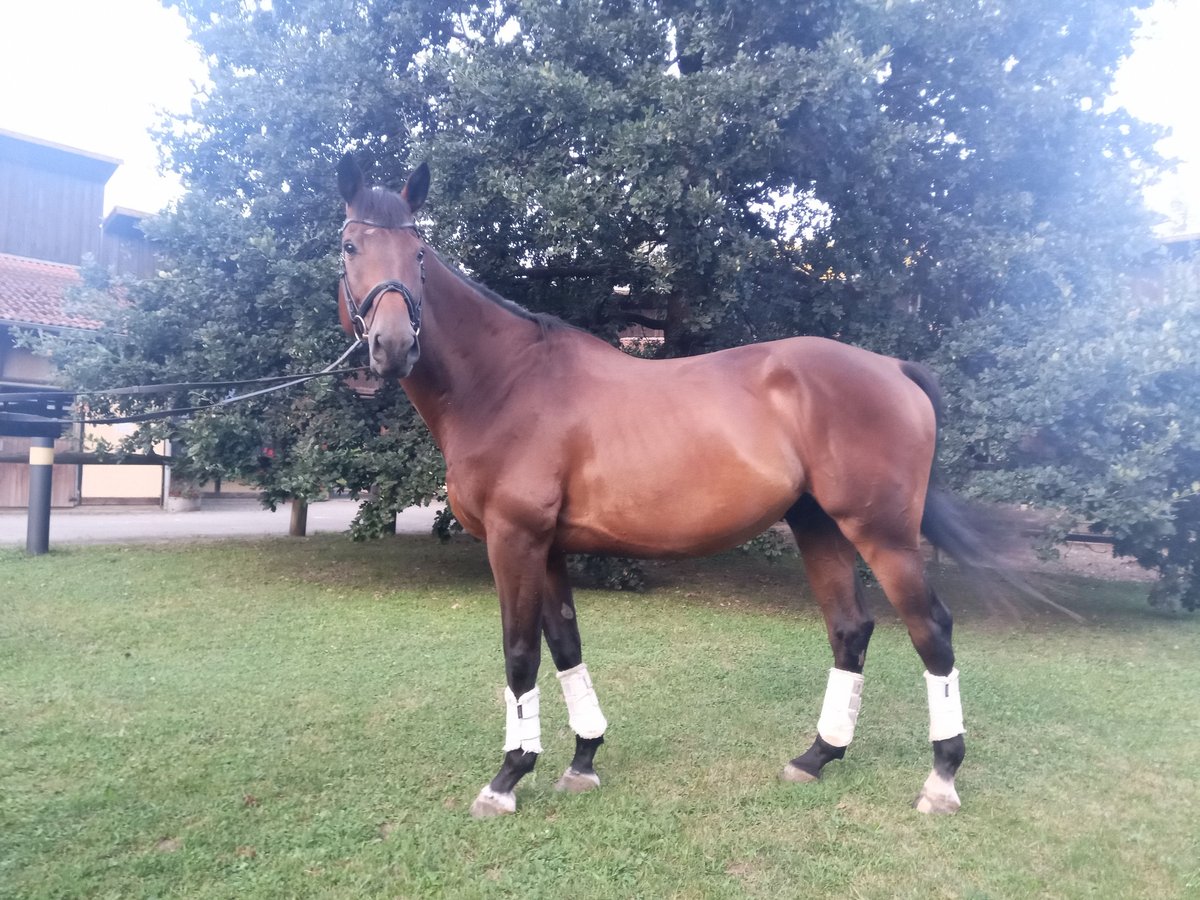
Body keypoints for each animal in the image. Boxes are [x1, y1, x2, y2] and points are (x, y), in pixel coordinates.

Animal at [338, 153, 1003, 816]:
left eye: (419, 253)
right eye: (349, 247)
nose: (393, 346)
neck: (506, 384)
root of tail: (893, 368)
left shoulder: (514, 540)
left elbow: (520, 655)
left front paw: (507, 777)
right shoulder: (547, 547)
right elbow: (566, 645)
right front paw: (582, 760)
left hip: (883, 534)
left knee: (931, 630)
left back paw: (941, 777)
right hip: (817, 523)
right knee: (850, 629)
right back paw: (816, 756)